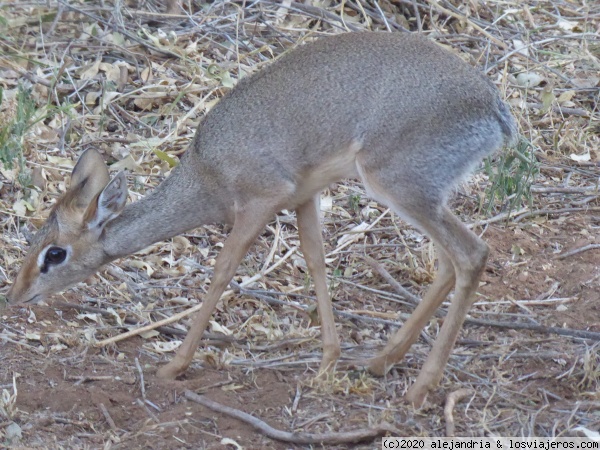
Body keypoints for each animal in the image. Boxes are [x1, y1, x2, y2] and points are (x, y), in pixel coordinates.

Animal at [5, 30, 516, 404]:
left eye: (54, 253)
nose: (15, 295)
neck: (206, 171)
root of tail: (495, 108)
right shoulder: (303, 198)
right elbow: (315, 261)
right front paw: (328, 361)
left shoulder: (258, 202)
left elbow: (221, 272)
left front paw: (174, 365)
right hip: (426, 196)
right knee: (448, 263)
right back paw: (378, 362)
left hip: (398, 186)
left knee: (472, 254)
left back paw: (420, 387)